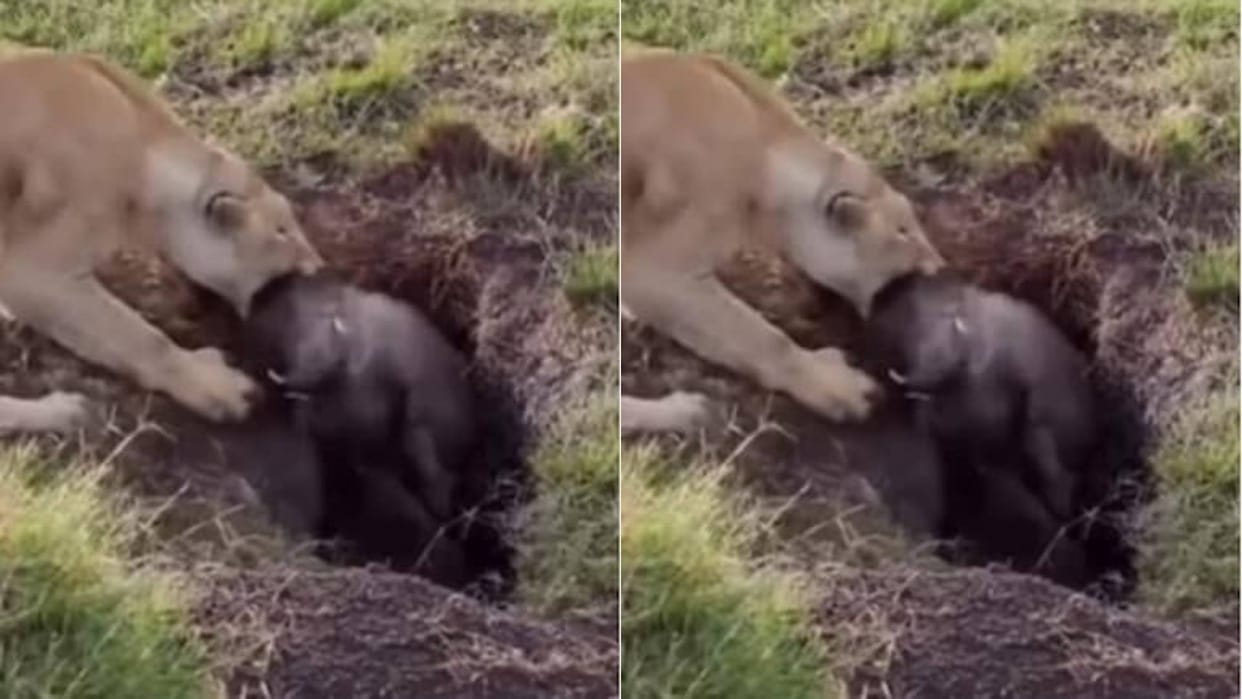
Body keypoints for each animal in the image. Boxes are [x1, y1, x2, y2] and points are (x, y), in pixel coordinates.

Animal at [0, 49, 322, 431]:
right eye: (283, 232)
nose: (319, 269)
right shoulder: (34, 272)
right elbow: (141, 338)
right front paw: (218, 388)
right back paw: (62, 411)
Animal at [620, 49, 943, 430]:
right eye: (904, 232)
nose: (940, 270)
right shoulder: (653, 271)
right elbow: (763, 338)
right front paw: (839, 387)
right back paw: (683, 412)